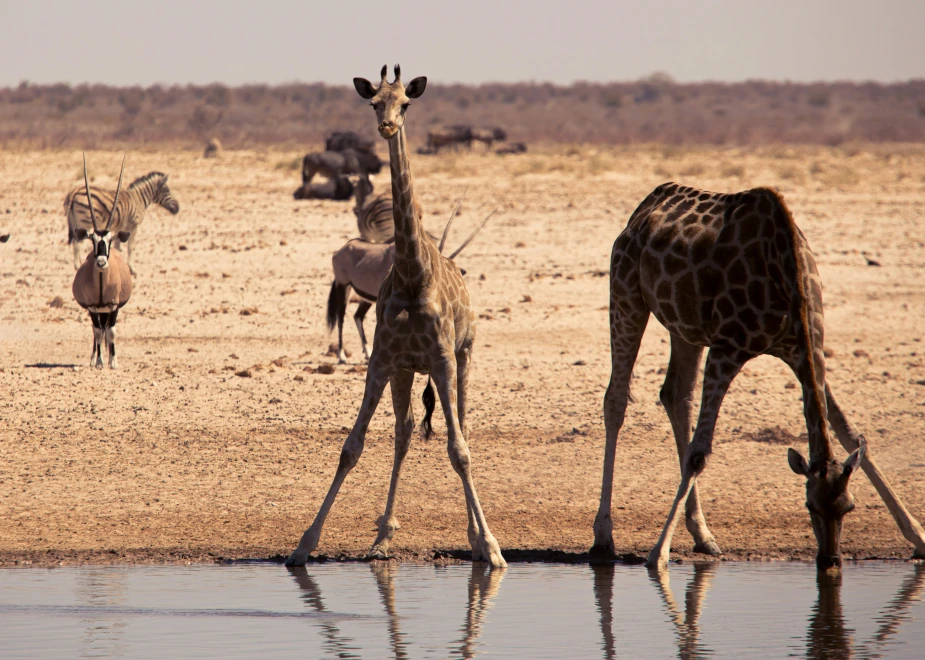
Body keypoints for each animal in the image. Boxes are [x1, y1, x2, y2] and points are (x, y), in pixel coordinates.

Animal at [286, 68, 506, 572]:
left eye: (405, 102)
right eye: (374, 103)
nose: (387, 125)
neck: (411, 275)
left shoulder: (443, 359)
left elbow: (459, 450)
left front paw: (490, 547)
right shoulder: (384, 360)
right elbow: (352, 447)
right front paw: (304, 544)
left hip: (464, 357)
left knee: (462, 428)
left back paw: (474, 537)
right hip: (407, 371)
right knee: (404, 434)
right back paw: (384, 535)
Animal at [592, 182, 924, 572]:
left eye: (849, 506)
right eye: (809, 506)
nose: (830, 560)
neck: (788, 275)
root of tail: (644, 207)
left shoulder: (802, 350)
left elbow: (850, 431)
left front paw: (918, 536)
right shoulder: (727, 348)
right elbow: (699, 454)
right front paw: (657, 554)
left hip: (686, 327)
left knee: (676, 395)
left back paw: (702, 535)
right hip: (626, 292)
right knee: (616, 398)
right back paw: (604, 537)